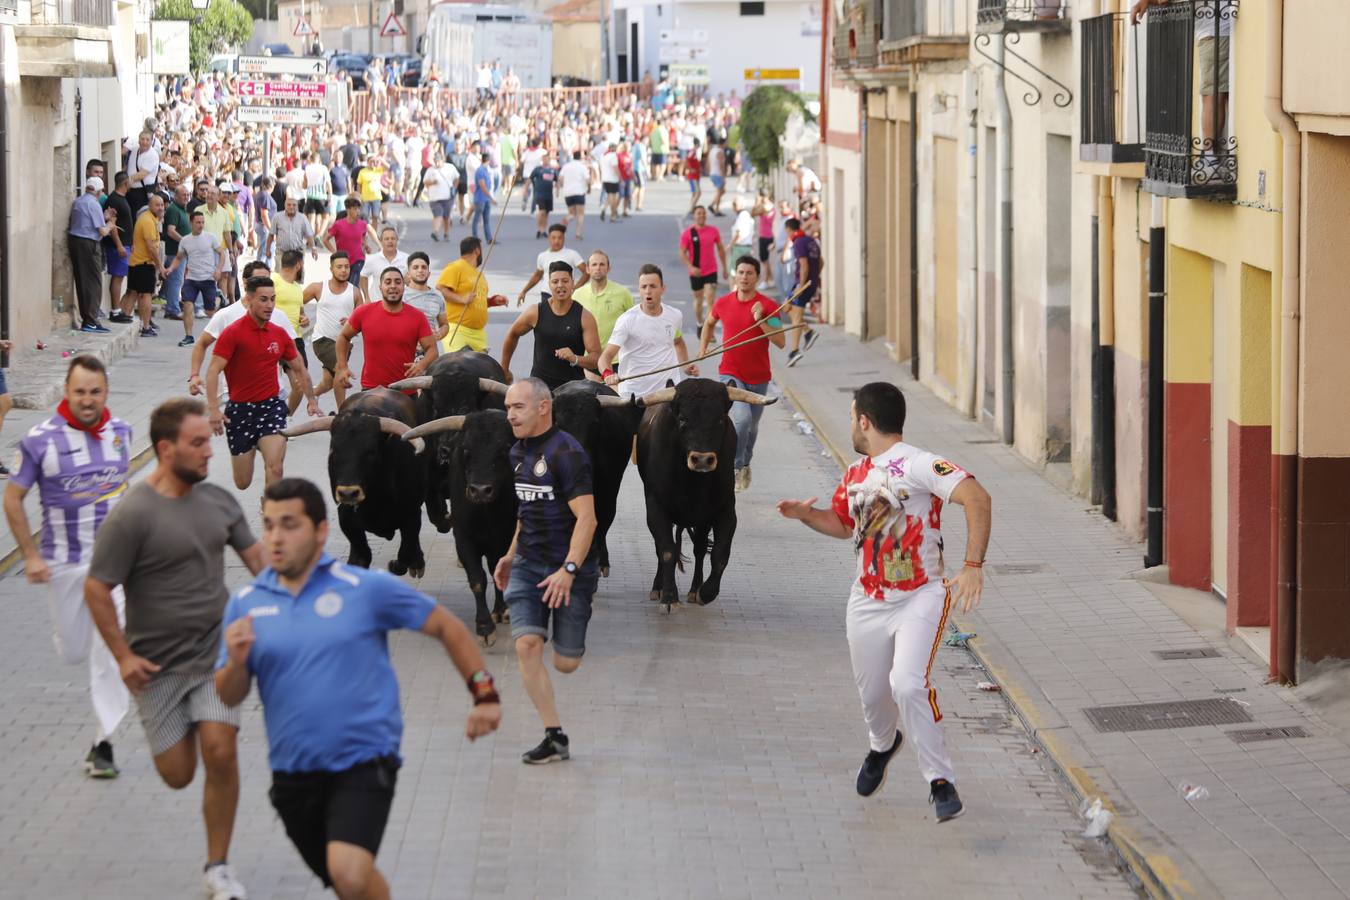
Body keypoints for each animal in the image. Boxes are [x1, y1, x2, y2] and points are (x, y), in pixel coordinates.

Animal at [282, 388, 429, 577]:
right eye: (334, 451)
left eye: (371, 452)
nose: (348, 492)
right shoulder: (346, 516)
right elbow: (361, 556)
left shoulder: (411, 512)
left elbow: (405, 553)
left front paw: (409, 563)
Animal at [396, 407, 513, 647]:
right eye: (466, 449)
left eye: (505, 448)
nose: (480, 490)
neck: (487, 513)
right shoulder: (464, 539)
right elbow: (477, 579)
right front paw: (485, 627)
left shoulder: (508, 537)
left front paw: (499, 612)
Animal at [637, 377, 777, 615]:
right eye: (682, 419)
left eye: (720, 419)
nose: (702, 459)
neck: (692, 482)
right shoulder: (656, 507)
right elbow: (666, 550)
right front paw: (669, 597)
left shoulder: (725, 510)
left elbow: (720, 554)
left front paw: (706, 592)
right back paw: (658, 587)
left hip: (702, 519)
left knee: (700, 548)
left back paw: (694, 589)